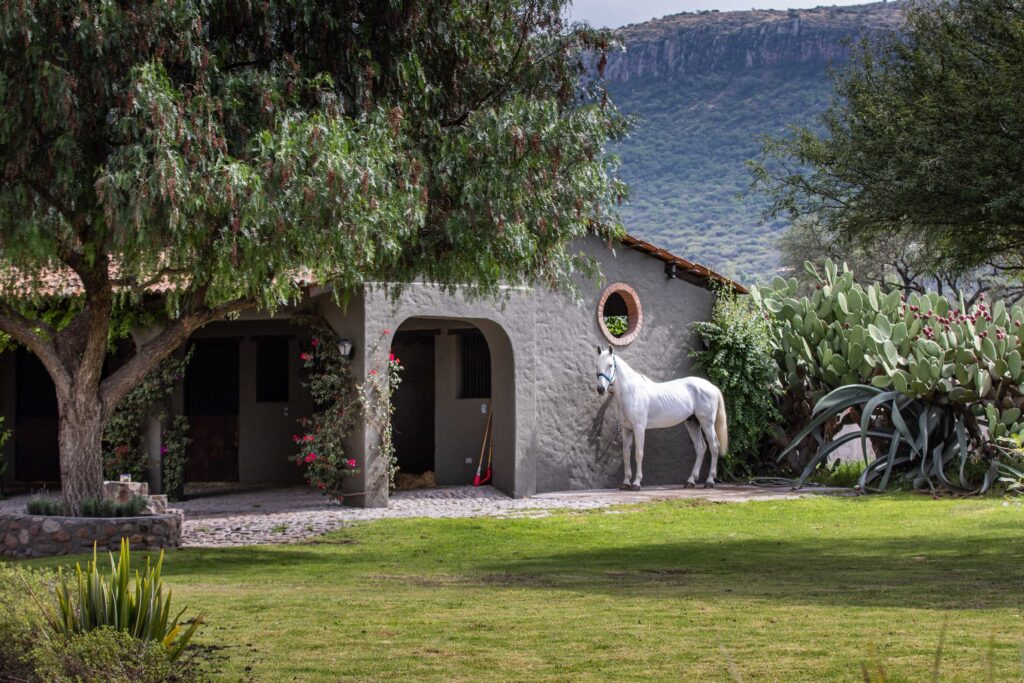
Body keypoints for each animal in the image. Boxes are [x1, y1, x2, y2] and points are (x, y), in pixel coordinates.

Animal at [595, 345, 728, 490]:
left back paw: (709, 481)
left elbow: (638, 454)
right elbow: (626, 454)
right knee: (701, 448)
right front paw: (625, 483)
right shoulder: (626, 429)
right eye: (597, 366)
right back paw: (690, 481)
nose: (601, 389)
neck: (632, 392)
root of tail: (713, 387)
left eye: (610, 365)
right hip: (692, 422)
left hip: (707, 423)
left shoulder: (639, 428)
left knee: (714, 446)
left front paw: (636, 483)